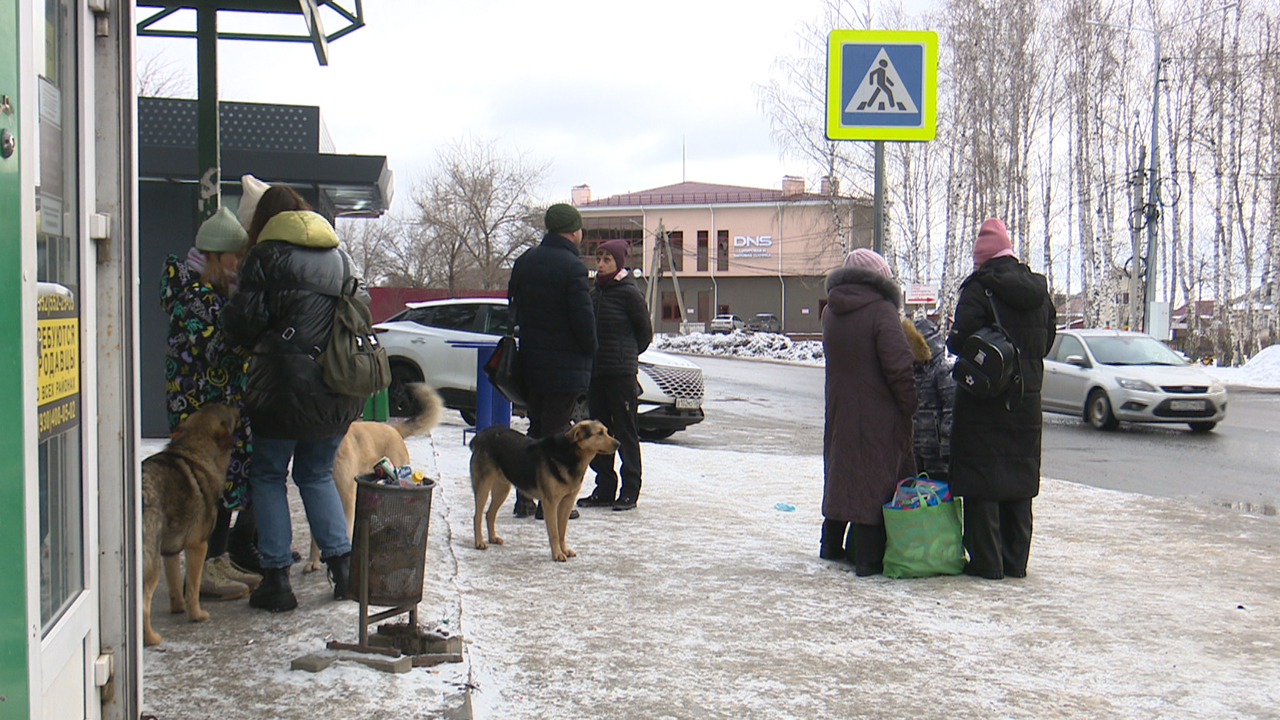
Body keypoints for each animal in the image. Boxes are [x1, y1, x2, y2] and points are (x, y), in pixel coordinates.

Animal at [140, 404, 240, 645]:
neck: (195, 453)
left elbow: (176, 584)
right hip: (151, 564)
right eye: (227, 408)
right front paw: (196, 615)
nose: (237, 404)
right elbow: (193, 588)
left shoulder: (170, 551)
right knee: (143, 605)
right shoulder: (198, 546)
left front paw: (178, 608)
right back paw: (151, 638)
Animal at [476, 420, 624, 561]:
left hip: (502, 489)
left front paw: (564, 550)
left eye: (606, 432)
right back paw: (479, 542)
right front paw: (557, 554)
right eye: (599, 433)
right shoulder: (550, 503)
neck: (570, 455)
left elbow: (562, 530)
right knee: (477, 516)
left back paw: (493, 538)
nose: (618, 444)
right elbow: (554, 533)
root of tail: (483, 433)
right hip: (483, 486)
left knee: (490, 514)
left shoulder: (568, 501)